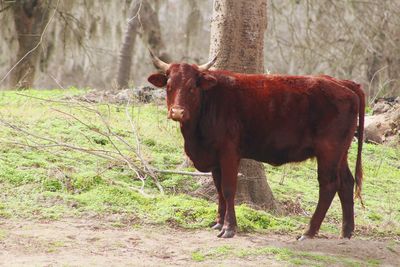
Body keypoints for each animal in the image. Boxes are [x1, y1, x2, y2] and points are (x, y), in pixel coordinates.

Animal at [148, 52, 366, 241]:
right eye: (169, 86)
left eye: (192, 87)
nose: (177, 112)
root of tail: (341, 82)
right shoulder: (215, 158)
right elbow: (218, 189)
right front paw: (218, 222)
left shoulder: (229, 153)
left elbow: (228, 189)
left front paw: (229, 228)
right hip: (340, 153)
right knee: (346, 182)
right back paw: (346, 232)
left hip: (329, 151)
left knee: (329, 185)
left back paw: (308, 232)